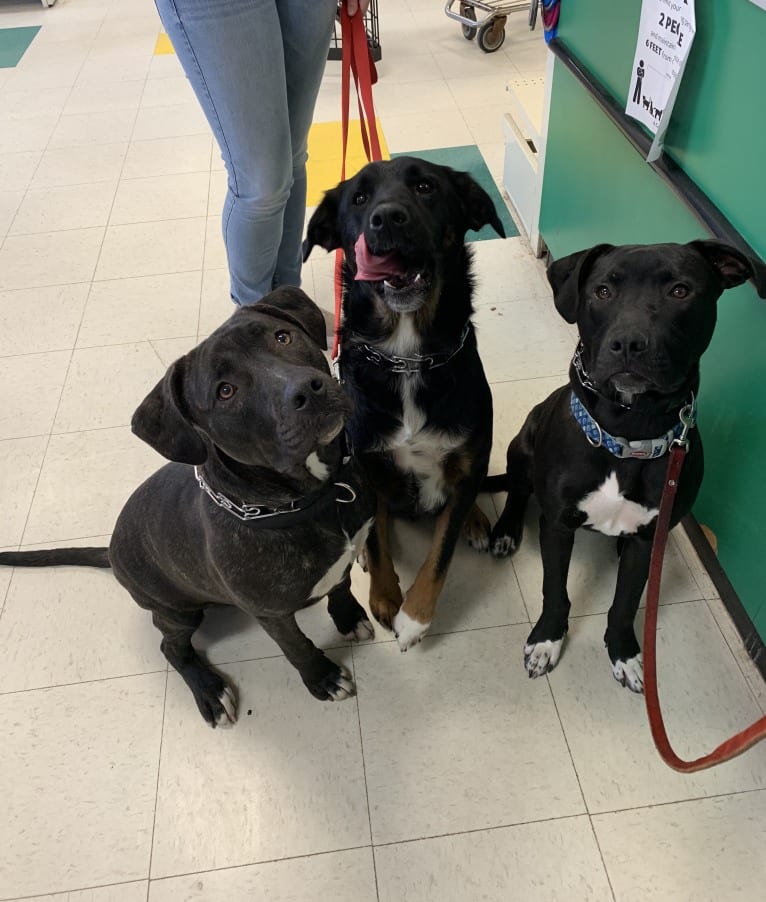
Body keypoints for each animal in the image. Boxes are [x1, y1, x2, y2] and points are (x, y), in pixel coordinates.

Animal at [0, 290, 376, 728]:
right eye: (225, 392)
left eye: (282, 337)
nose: (307, 390)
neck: (312, 499)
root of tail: (110, 549)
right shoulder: (272, 613)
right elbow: (295, 645)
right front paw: (322, 677)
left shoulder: (345, 554)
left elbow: (341, 585)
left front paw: (349, 616)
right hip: (176, 611)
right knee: (171, 647)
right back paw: (210, 692)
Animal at [304, 154, 508, 648]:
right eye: (360, 197)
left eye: (426, 186)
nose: (388, 218)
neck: (408, 355)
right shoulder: (366, 466)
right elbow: (378, 543)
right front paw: (384, 599)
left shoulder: (467, 455)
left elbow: (440, 555)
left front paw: (414, 619)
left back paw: (475, 518)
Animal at [492, 240, 766, 692]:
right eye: (602, 291)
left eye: (680, 291)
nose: (628, 343)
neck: (628, 435)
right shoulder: (558, 526)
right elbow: (555, 589)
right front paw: (547, 640)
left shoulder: (648, 539)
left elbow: (625, 601)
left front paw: (623, 652)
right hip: (524, 441)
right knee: (517, 490)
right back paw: (505, 531)